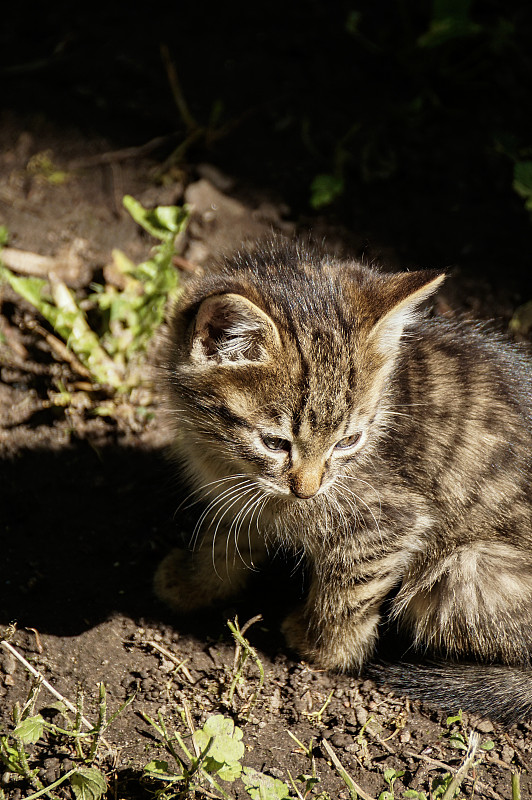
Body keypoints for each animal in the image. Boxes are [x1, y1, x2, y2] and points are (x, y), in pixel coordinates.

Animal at [156, 239, 532, 724]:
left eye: (348, 441)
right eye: (275, 443)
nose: (308, 489)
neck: (224, 459)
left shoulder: (387, 521)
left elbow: (351, 590)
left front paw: (324, 648)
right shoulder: (240, 494)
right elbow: (225, 539)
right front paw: (193, 583)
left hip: (466, 569)